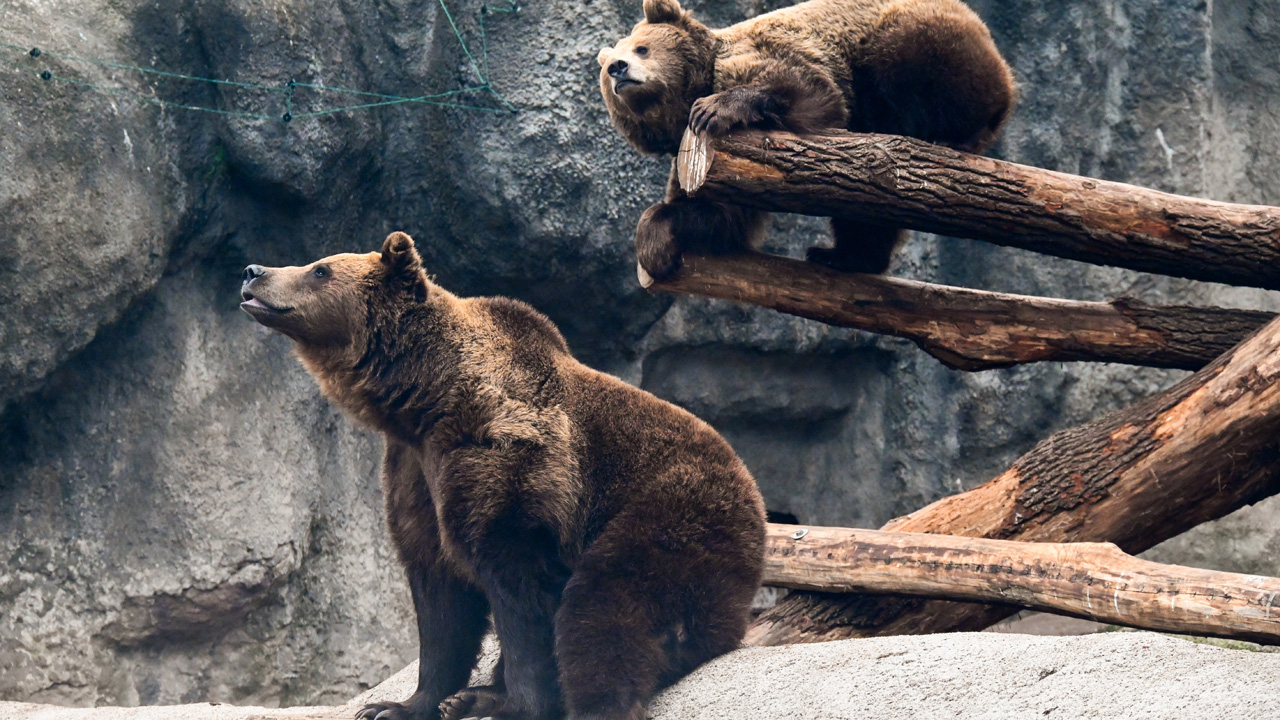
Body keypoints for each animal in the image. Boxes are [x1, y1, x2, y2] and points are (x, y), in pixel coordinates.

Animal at [240, 230, 762, 717]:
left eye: (320, 269)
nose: (252, 270)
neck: (427, 398)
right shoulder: (416, 472)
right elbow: (439, 595)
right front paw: (398, 704)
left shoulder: (507, 456)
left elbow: (518, 584)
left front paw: (516, 704)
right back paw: (472, 697)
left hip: (676, 515)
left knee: (607, 605)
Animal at [601, 0, 1018, 278]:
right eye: (606, 68)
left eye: (642, 47)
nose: (618, 67)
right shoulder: (696, 160)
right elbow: (719, 216)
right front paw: (655, 244)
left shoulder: (781, 56)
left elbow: (810, 97)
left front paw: (717, 107)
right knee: (868, 211)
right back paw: (844, 255)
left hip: (907, 42)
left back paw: (955, 137)